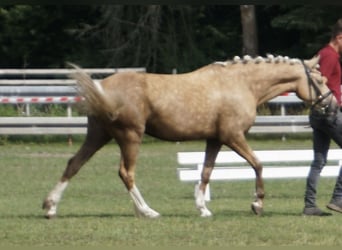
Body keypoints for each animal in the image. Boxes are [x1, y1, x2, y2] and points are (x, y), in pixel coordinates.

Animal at [41, 54, 336, 219]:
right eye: (320, 80)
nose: (331, 105)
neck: (242, 83)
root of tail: (101, 86)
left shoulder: (215, 140)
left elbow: (206, 172)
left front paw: (203, 209)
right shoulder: (233, 137)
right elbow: (258, 164)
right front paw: (257, 204)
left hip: (98, 136)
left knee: (74, 164)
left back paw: (51, 207)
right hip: (130, 137)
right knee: (126, 173)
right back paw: (147, 211)